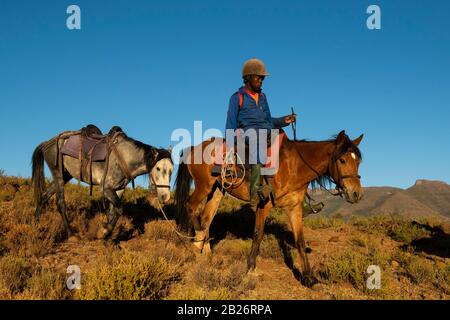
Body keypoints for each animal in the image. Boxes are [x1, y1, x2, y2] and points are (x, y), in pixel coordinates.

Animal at [31, 126, 172, 239]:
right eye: (158, 168)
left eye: (171, 170)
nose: (165, 197)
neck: (125, 157)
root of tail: (48, 142)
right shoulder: (106, 188)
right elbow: (119, 209)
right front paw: (104, 232)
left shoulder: (118, 189)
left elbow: (113, 212)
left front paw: (107, 237)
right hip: (59, 176)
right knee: (60, 203)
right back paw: (70, 234)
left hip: (65, 176)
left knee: (44, 196)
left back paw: (36, 225)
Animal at [174, 129, 364, 284]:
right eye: (342, 160)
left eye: (358, 162)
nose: (357, 194)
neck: (294, 166)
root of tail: (193, 148)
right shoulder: (263, 205)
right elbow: (258, 235)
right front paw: (250, 268)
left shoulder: (294, 208)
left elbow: (300, 241)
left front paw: (308, 277)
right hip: (203, 186)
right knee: (190, 207)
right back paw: (196, 244)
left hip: (217, 190)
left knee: (206, 218)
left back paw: (205, 252)